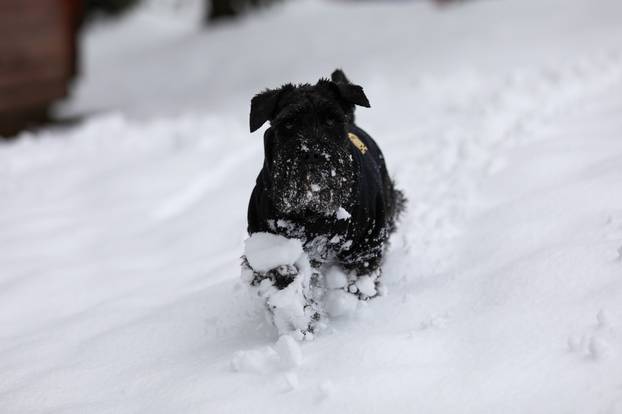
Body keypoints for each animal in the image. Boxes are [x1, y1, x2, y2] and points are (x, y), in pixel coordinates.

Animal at [241, 68, 408, 334]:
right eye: (288, 122)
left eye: (331, 120)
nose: (313, 154)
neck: (312, 212)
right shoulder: (269, 244)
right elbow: (282, 273)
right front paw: (301, 316)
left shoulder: (365, 244)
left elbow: (358, 281)